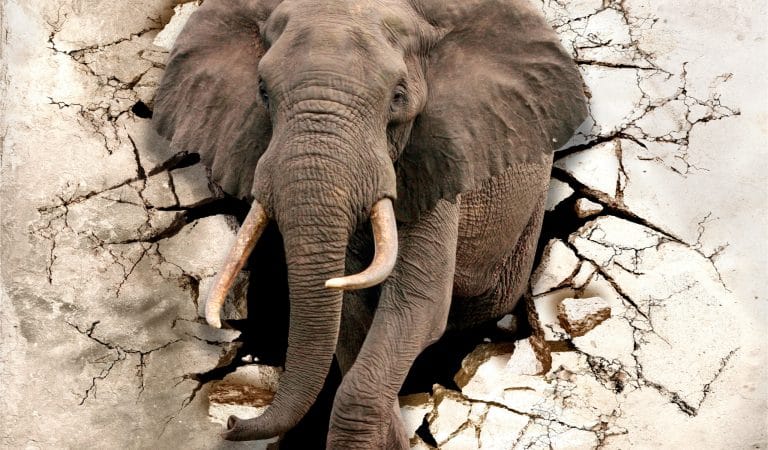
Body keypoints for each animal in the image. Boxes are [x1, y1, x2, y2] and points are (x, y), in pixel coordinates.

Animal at [152, 0, 587, 447]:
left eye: (398, 97)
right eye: (263, 92)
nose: (232, 422)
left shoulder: (434, 162)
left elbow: (418, 307)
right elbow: (351, 316)